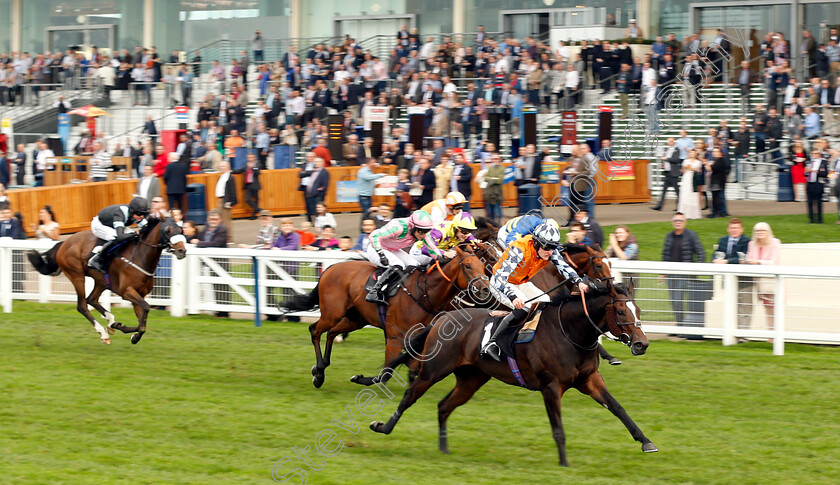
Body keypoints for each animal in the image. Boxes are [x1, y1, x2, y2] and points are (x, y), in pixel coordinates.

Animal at [27, 216, 187, 344]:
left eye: (181, 229)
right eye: (168, 230)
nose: (182, 251)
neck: (140, 257)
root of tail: (64, 243)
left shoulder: (138, 294)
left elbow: (142, 320)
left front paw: (123, 330)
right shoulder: (127, 292)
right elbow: (146, 311)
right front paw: (124, 330)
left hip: (101, 281)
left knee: (92, 299)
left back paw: (110, 321)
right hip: (76, 275)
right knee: (82, 305)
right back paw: (103, 333)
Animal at [282, 244, 492, 388]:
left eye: (483, 267)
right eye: (467, 266)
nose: (485, 290)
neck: (425, 293)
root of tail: (330, 268)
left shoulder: (420, 339)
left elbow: (412, 368)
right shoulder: (395, 337)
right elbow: (386, 372)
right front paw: (359, 378)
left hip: (355, 319)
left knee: (332, 333)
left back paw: (321, 366)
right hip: (332, 314)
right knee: (315, 331)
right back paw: (319, 374)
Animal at [370, 280, 656, 466]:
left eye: (638, 310)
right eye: (621, 311)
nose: (641, 344)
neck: (570, 333)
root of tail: (442, 318)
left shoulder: (589, 379)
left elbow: (617, 408)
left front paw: (645, 441)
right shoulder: (551, 387)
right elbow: (558, 429)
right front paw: (564, 464)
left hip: (471, 379)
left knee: (443, 406)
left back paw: (444, 448)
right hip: (433, 370)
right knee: (410, 395)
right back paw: (383, 427)